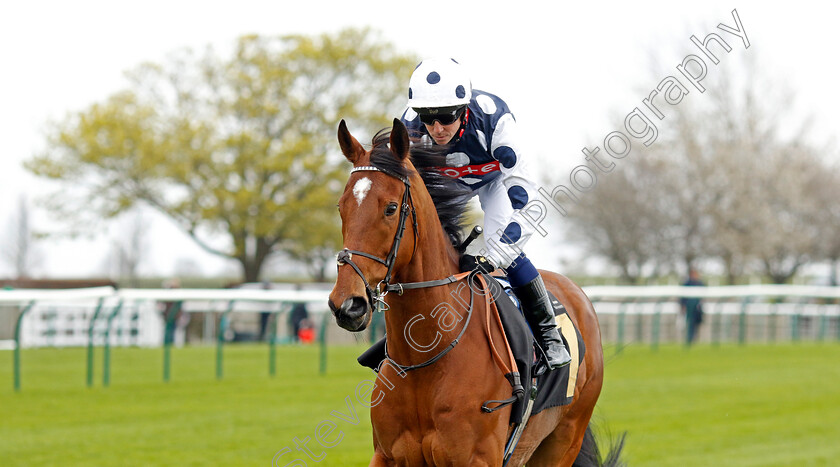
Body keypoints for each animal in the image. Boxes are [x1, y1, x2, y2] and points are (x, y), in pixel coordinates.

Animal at [328, 119, 616, 466]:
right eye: (342, 207)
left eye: (391, 208)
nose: (348, 304)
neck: (425, 360)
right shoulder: (387, 456)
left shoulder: (478, 458)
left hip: (563, 440)